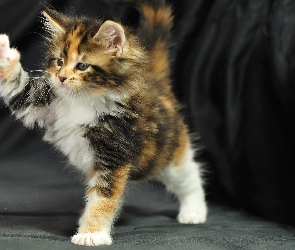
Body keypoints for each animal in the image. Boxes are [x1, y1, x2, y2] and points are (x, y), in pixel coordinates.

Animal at [0, 0, 208, 246]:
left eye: (82, 66)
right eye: (59, 62)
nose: (61, 77)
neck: (84, 100)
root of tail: (157, 86)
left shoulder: (114, 154)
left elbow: (103, 199)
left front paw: (91, 234)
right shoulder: (43, 103)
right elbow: (19, 90)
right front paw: (4, 55)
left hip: (165, 155)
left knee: (189, 175)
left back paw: (194, 211)